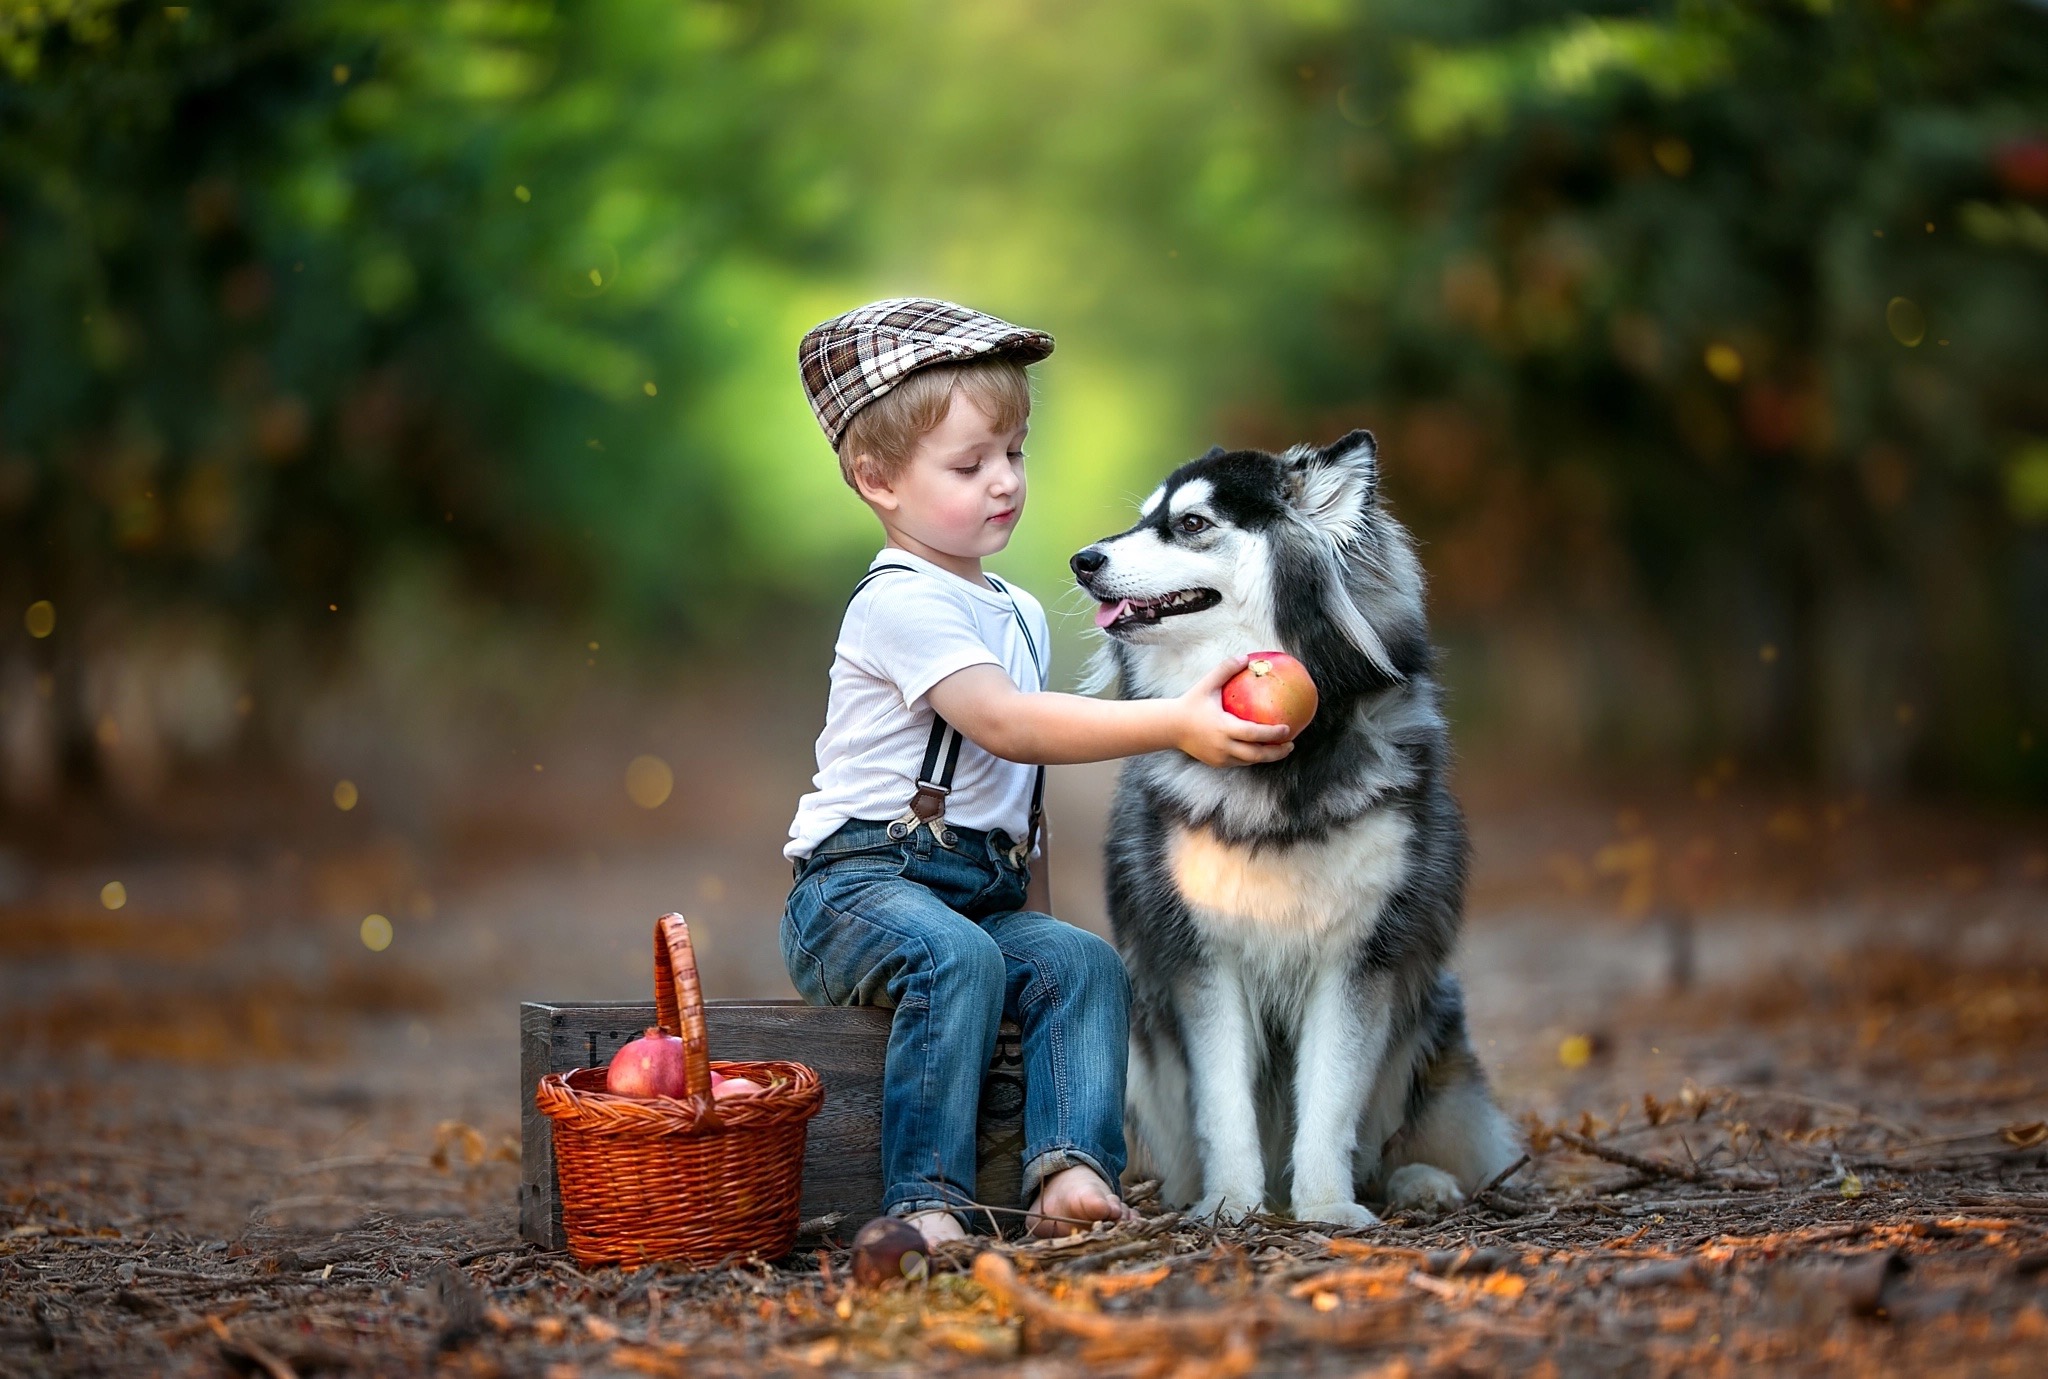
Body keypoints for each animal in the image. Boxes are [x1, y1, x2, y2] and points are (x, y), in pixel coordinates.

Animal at [1073, 430, 1523, 1229]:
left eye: (1191, 523)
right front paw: (1231, 1205)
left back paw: (1421, 1184)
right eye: (1144, 517)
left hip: (1435, 1024)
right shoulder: (1203, 958)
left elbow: (1332, 1101)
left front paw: (1326, 1209)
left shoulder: (1360, 956)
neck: (1287, 761)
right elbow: (1223, 1103)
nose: (1082, 560)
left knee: (1410, 1143)